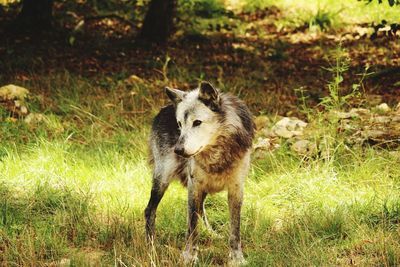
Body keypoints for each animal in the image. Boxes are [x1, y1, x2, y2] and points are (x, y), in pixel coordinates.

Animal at [145, 81, 255, 266]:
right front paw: (189, 256)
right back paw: (151, 248)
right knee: (149, 210)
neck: (217, 155)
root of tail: (165, 108)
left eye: (197, 122)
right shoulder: (194, 186)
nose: (178, 150)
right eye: (179, 125)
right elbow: (192, 226)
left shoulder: (236, 189)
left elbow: (235, 229)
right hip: (163, 178)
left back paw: (211, 234)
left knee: (201, 210)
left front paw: (236, 258)